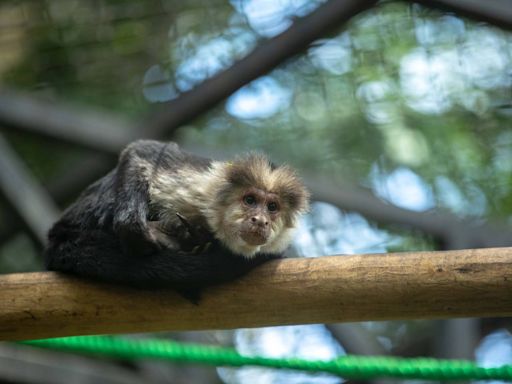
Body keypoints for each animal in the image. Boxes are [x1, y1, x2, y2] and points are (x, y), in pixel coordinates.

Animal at [45, 141, 308, 304]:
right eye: (250, 200)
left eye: (272, 207)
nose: (260, 220)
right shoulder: (202, 184)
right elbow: (143, 151)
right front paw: (134, 230)